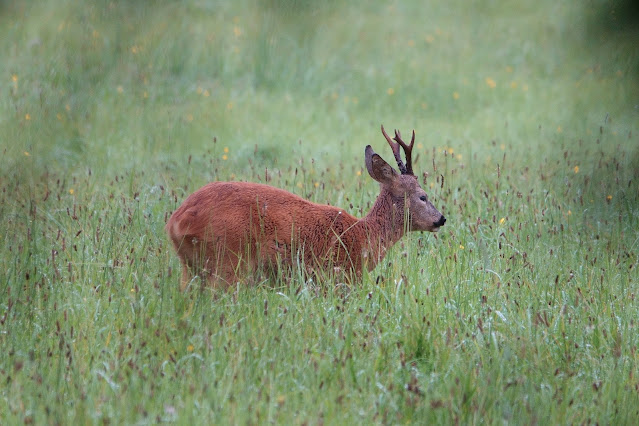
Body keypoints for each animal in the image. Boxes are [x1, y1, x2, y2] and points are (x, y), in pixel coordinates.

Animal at [165, 124, 444, 290]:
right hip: (227, 260)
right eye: (423, 196)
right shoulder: (340, 277)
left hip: (190, 268)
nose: (441, 219)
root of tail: (176, 222)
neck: (363, 235)